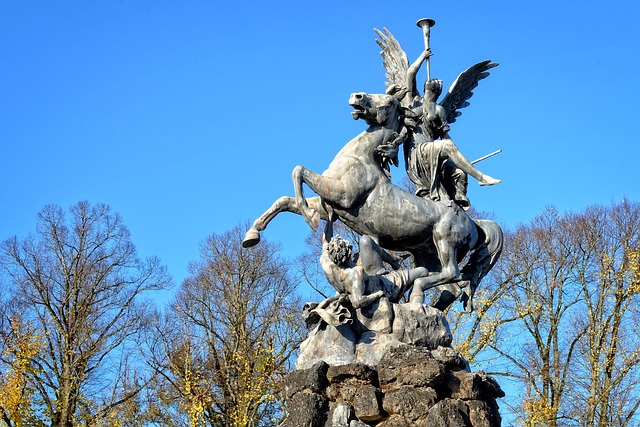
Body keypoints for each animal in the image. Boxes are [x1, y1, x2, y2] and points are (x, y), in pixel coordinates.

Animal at [242, 92, 502, 310]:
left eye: (388, 101)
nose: (356, 96)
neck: (361, 157)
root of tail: (475, 224)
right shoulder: (333, 204)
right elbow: (285, 199)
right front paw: (252, 235)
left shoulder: (342, 195)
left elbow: (299, 171)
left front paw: (309, 217)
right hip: (429, 255)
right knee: (451, 289)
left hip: (445, 243)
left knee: (452, 274)